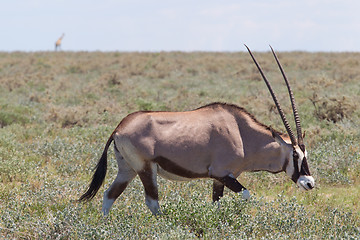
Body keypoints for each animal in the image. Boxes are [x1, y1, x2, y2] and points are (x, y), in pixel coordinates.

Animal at [79, 46, 316, 215]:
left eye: (306, 154)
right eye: (295, 155)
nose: (309, 183)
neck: (242, 134)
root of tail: (119, 127)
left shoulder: (220, 179)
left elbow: (216, 203)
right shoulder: (222, 173)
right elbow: (247, 195)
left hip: (127, 169)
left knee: (109, 195)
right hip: (146, 169)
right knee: (152, 202)